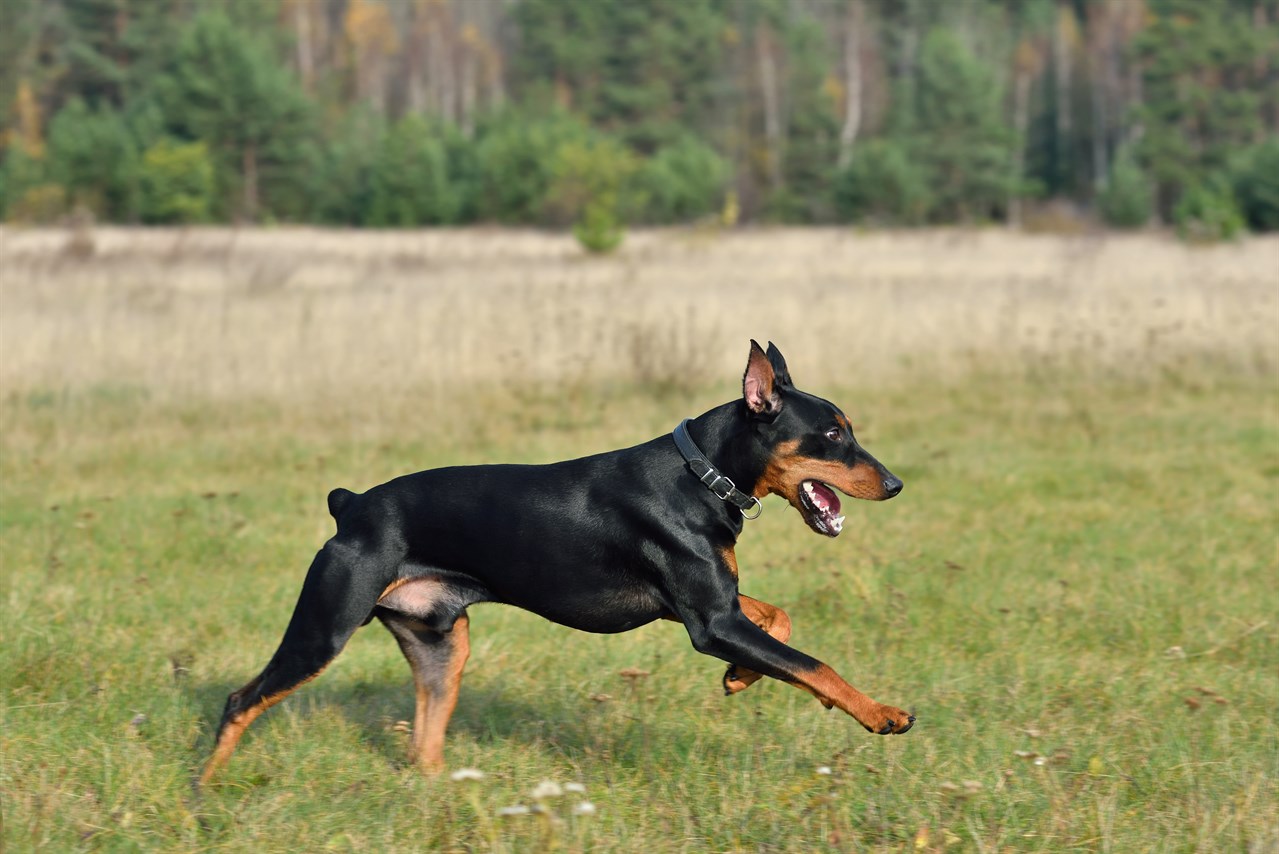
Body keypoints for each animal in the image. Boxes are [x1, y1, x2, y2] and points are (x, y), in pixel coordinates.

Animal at [199, 340, 915, 787]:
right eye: (833, 434)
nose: (896, 484)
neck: (701, 475)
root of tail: (350, 506)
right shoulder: (708, 622)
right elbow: (813, 664)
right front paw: (882, 714)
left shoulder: (712, 607)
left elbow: (780, 620)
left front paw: (741, 676)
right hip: (324, 630)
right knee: (240, 700)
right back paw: (203, 795)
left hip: (441, 644)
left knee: (422, 748)